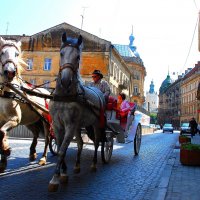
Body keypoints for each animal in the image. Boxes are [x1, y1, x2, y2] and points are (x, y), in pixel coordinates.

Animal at [0, 36, 50, 173]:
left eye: (17, 54)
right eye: (2, 52)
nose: (10, 72)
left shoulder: (15, 119)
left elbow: (2, 132)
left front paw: (6, 150)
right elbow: (1, 134)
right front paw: (3, 160)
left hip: (46, 121)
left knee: (47, 139)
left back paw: (43, 158)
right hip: (31, 120)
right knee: (35, 134)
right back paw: (32, 152)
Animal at [48, 33, 106, 192]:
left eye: (78, 57)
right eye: (61, 53)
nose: (65, 81)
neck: (65, 96)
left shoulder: (69, 125)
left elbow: (62, 149)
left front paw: (55, 178)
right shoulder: (57, 125)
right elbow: (60, 147)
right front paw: (64, 173)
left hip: (96, 125)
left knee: (98, 142)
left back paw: (94, 164)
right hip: (79, 126)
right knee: (80, 143)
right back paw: (77, 165)